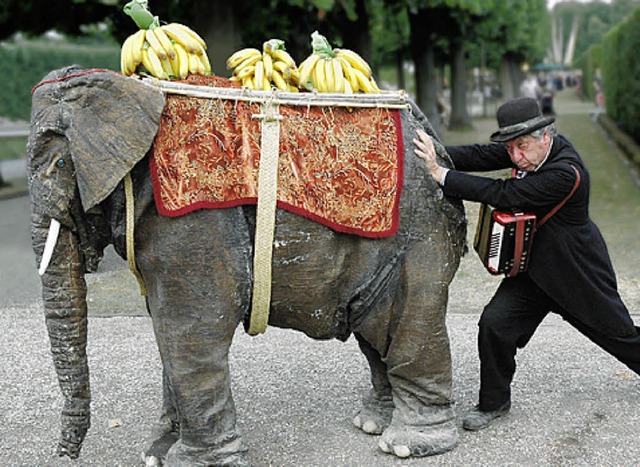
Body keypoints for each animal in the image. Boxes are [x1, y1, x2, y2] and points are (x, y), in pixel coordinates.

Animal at [27, 65, 464, 464]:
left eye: (59, 165)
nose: (65, 454)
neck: (133, 89)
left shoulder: (194, 219)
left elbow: (191, 327)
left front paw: (192, 462)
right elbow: (165, 326)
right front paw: (156, 454)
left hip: (421, 231)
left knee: (406, 323)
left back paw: (405, 443)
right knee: (374, 333)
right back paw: (372, 422)